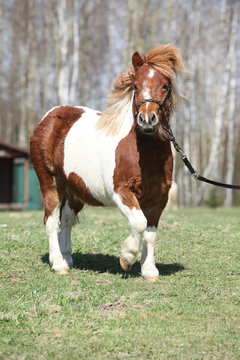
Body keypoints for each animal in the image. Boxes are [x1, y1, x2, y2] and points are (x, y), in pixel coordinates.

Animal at [30, 44, 184, 282]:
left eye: (165, 85)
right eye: (136, 86)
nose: (147, 119)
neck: (145, 153)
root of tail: (49, 117)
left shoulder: (159, 197)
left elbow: (150, 232)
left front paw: (149, 270)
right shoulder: (121, 191)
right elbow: (138, 223)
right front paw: (127, 258)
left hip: (75, 190)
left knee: (67, 219)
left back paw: (68, 258)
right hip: (51, 184)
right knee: (51, 220)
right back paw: (58, 264)